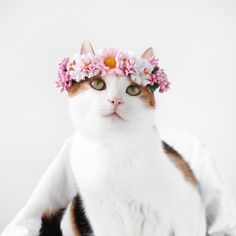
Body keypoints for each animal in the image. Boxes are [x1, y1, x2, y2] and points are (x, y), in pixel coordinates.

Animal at [39, 41, 206, 235]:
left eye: (133, 89)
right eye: (97, 83)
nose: (115, 100)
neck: (114, 149)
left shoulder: (179, 208)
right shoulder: (101, 217)